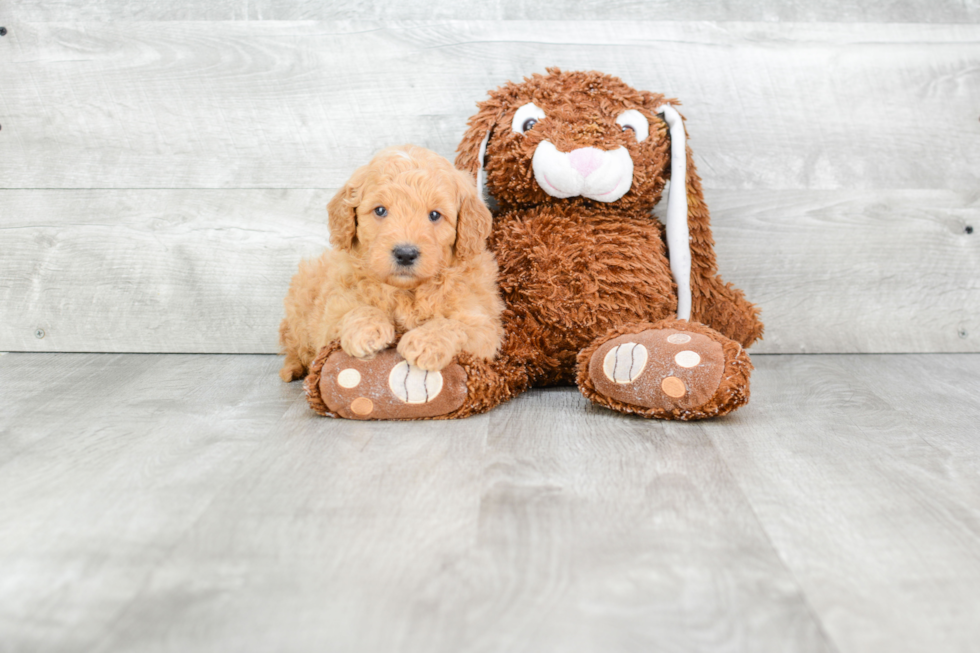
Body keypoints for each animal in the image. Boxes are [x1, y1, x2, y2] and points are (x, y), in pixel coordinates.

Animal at [278, 145, 502, 382]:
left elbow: (455, 324)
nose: (405, 254)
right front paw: (367, 329)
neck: (408, 292)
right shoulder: (331, 314)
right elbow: (354, 310)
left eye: (434, 215)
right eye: (380, 210)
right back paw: (292, 368)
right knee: (293, 343)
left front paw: (425, 343)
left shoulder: (484, 326)